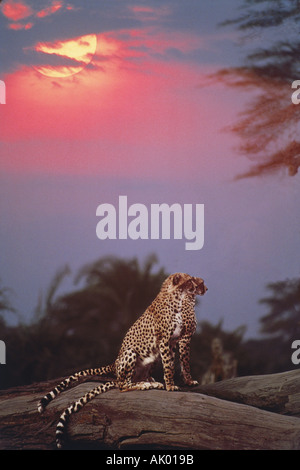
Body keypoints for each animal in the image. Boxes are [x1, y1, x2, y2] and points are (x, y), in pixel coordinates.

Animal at [37, 272, 207, 448]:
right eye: (190, 281)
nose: (202, 288)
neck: (179, 299)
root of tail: (114, 363)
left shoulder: (173, 342)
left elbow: (174, 363)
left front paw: (178, 382)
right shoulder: (167, 340)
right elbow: (171, 365)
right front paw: (171, 385)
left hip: (152, 358)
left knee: (133, 379)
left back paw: (151, 382)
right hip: (130, 353)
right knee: (123, 385)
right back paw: (145, 385)